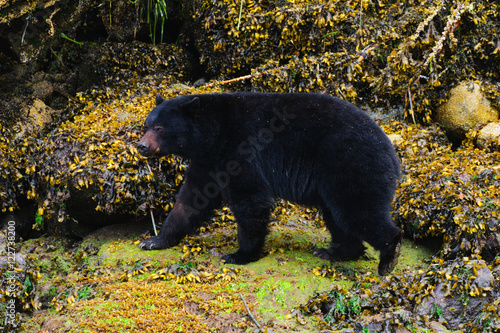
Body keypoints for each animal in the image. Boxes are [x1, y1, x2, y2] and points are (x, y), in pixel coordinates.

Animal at [137, 91, 402, 274]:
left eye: (160, 128)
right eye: (146, 125)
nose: (141, 146)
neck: (215, 133)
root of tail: (392, 154)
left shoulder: (241, 148)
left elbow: (250, 199)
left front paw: (240, 254)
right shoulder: (207, 161)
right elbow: (192, 200)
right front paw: (154, 240)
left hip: (350, 164)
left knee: (358, 212)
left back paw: (389, 257)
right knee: (338, 216)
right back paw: (334, 252)